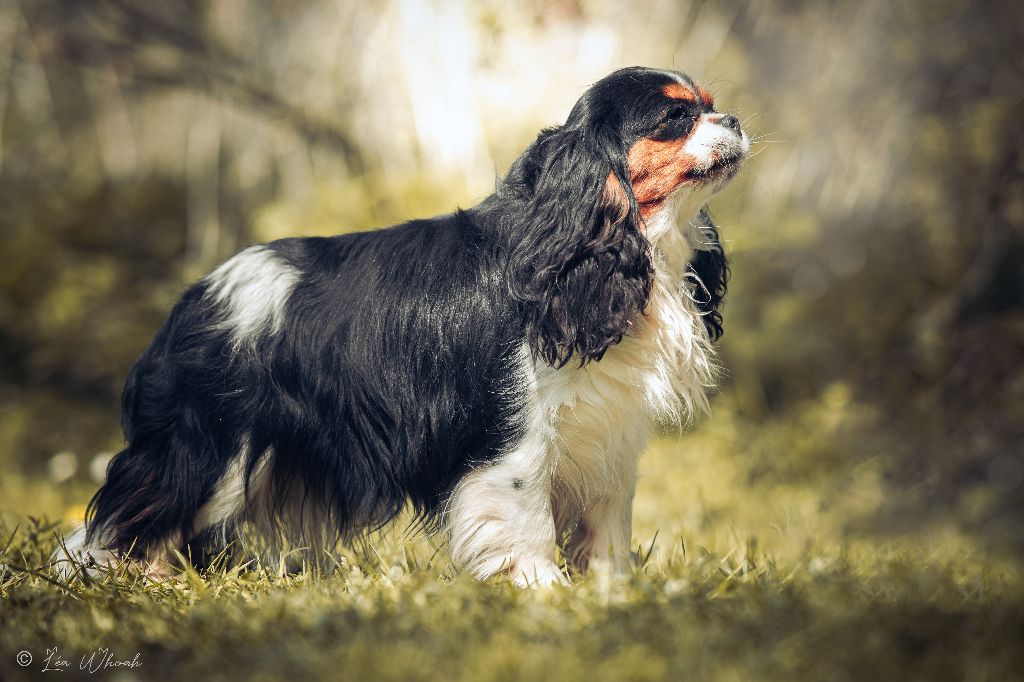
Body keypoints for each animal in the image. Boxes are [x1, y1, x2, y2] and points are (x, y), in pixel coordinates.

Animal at [51, 66, 749, 581]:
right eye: (676, 118)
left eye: (711, 106)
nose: (736, 120)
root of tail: (195, 296)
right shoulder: (512, 439)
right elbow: (528, 527)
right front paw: (544, 596)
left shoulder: (606, 436)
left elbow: (606, 533)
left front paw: (612, 598)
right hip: (205, 452)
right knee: (119, 523)